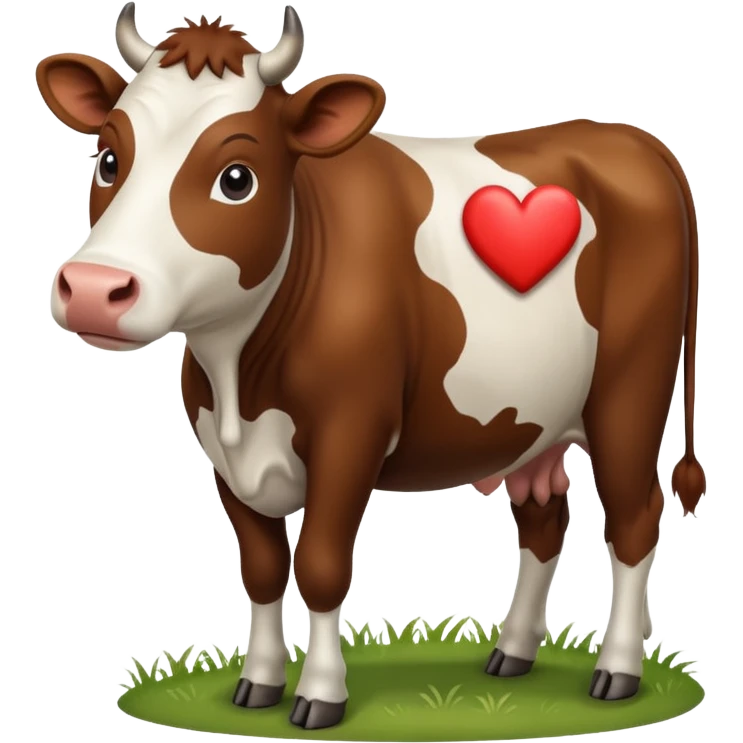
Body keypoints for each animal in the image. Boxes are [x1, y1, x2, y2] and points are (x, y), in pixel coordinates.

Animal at [38, 2, 705, 732]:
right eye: (108, 159)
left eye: (237, 177)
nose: (94, 287)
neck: (240, 374)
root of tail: (628, 139)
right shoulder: (221, 451)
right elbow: (264, 567)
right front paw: (258, 683)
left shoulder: (350, 432)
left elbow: (321, 564)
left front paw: (320, 695)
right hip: (533, 421)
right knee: (544, 520)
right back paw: (513, 653)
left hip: (629, 395)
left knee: (635, 518)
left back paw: (617, 669)